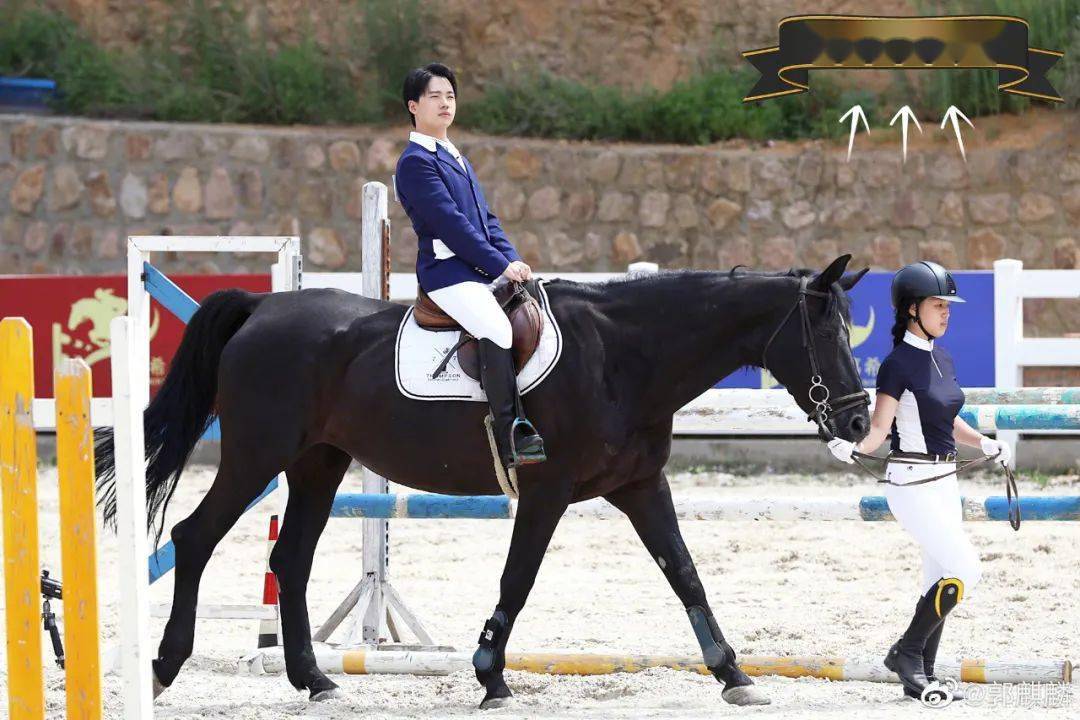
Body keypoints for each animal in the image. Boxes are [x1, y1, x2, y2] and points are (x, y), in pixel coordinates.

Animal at [95, 254, 871, 708]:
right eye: (826, 334)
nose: (861, 421)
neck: (623, 356)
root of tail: (264, 309)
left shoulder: (642, 486)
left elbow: (684, 572)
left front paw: (733, 674)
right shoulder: (549, 491)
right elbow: (518, 579)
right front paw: (490, 672)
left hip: (318, 464)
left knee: (289, 560)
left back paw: (314, 680)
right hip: (257, 457)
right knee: (195, 537)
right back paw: (163, 668)